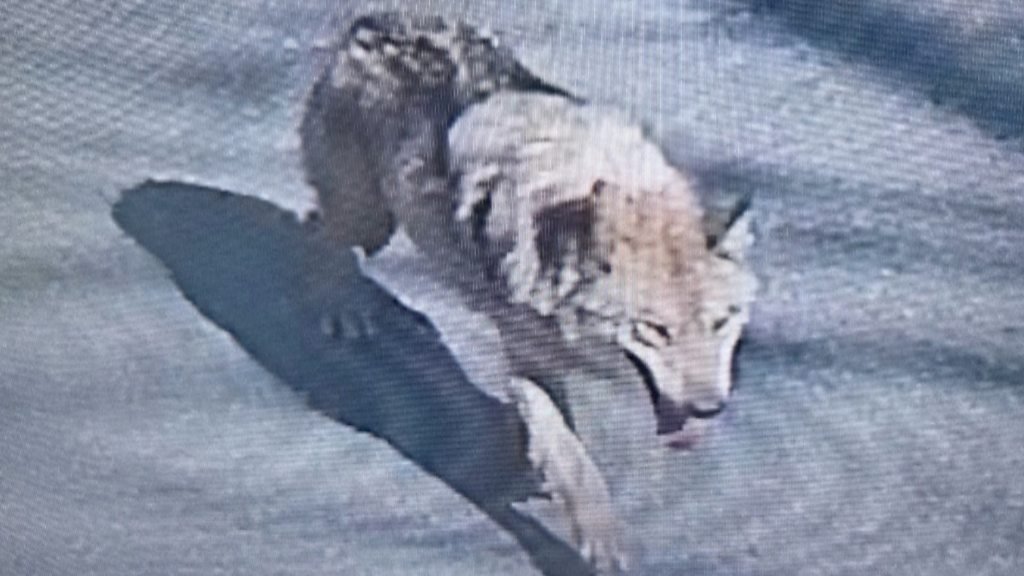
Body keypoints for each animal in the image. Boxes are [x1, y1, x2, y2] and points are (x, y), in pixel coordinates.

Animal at [300, 12, 756, 572]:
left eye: (721, 322)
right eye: (655, 330)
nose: (709, 409)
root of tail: (375, 21)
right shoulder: (526, 356)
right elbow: (575, 460)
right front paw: (602, 543)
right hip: (370, 223)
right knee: (318, 227)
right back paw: (338, 308)